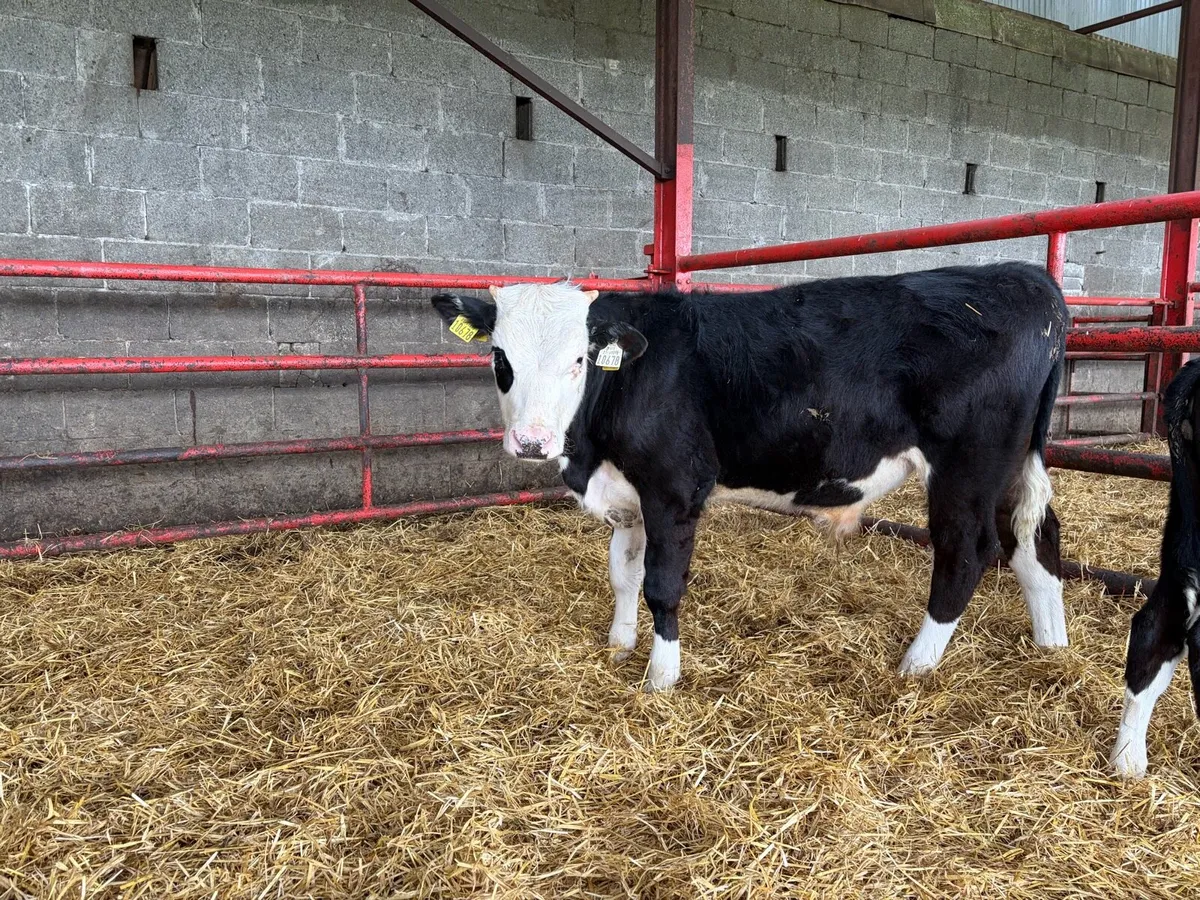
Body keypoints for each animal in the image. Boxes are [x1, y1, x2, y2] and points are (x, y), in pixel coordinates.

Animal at [432, 262, 1068, 692]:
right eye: (500, 358)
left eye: (579, 360)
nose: (532, 441)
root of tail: (1025, 278)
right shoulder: (628, 497)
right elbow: (623, 575)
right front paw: (619, 643)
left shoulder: (674, 488)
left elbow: (661, 584)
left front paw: (661, 675)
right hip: (1011, 464)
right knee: (1036, 538)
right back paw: (1052, 646)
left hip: (968, 466)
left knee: (967, 553)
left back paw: (916, 663)